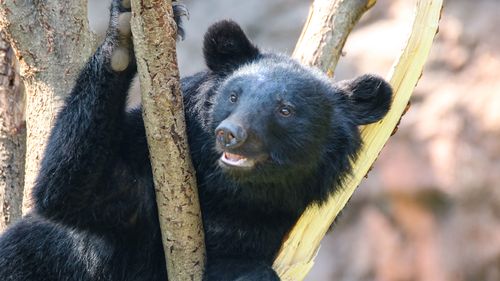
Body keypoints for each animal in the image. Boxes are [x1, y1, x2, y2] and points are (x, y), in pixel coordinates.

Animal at [0, 1, 392, 278]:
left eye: (285, 110)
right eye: (233, 96)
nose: (229, 134)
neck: (232, 192)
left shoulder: (279, 222)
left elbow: (243, 262)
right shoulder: (141, 167)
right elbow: (72, 189)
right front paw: (124, 33)